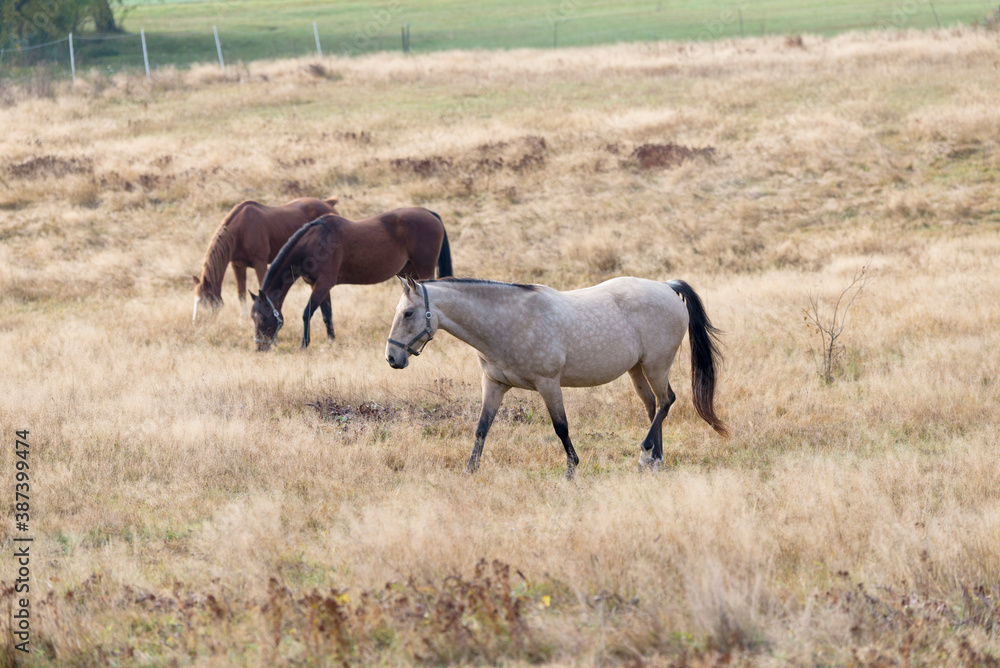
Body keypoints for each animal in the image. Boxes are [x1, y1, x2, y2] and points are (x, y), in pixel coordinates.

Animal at [192, 196, 341, 323]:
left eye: (205, 302)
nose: (196, 322)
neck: (242, 229)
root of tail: (328, 203)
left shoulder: (260, 263)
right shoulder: (237, 265)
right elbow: (241, 293)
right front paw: (243, 320)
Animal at [250, 208, 453, 351]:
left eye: (264, 318)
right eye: (253, 317)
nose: (260, 347)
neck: (312, 243)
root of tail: (430, 214)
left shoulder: (322, 285)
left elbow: (307, 313)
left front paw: (304, 345)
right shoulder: (321, 287)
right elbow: (327, 315)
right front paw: (331, 341)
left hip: (424, 268)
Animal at [384, 276, 728, 478]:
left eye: (408, 313)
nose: (391, 358)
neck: (509, 321)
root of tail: (667, 287)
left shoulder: (548, 383)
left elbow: (561, 427)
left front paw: (571, 470)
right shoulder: (494, 385)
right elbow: (482, 428)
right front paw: (471, 470)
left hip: (656, 365)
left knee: (667, 401)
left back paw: (646, 455)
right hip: (638, 369)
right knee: (654, 407)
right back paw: (656, 459)